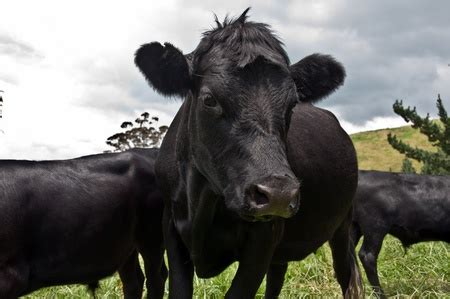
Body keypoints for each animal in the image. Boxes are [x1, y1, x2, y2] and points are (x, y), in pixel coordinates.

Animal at [134, 8, 362, 298]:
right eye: (209, 100)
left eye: (292, 104)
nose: (278, 194)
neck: (202, 202)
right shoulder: (172, 228)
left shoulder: (264, 237)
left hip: (343, 224)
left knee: (346, 272)